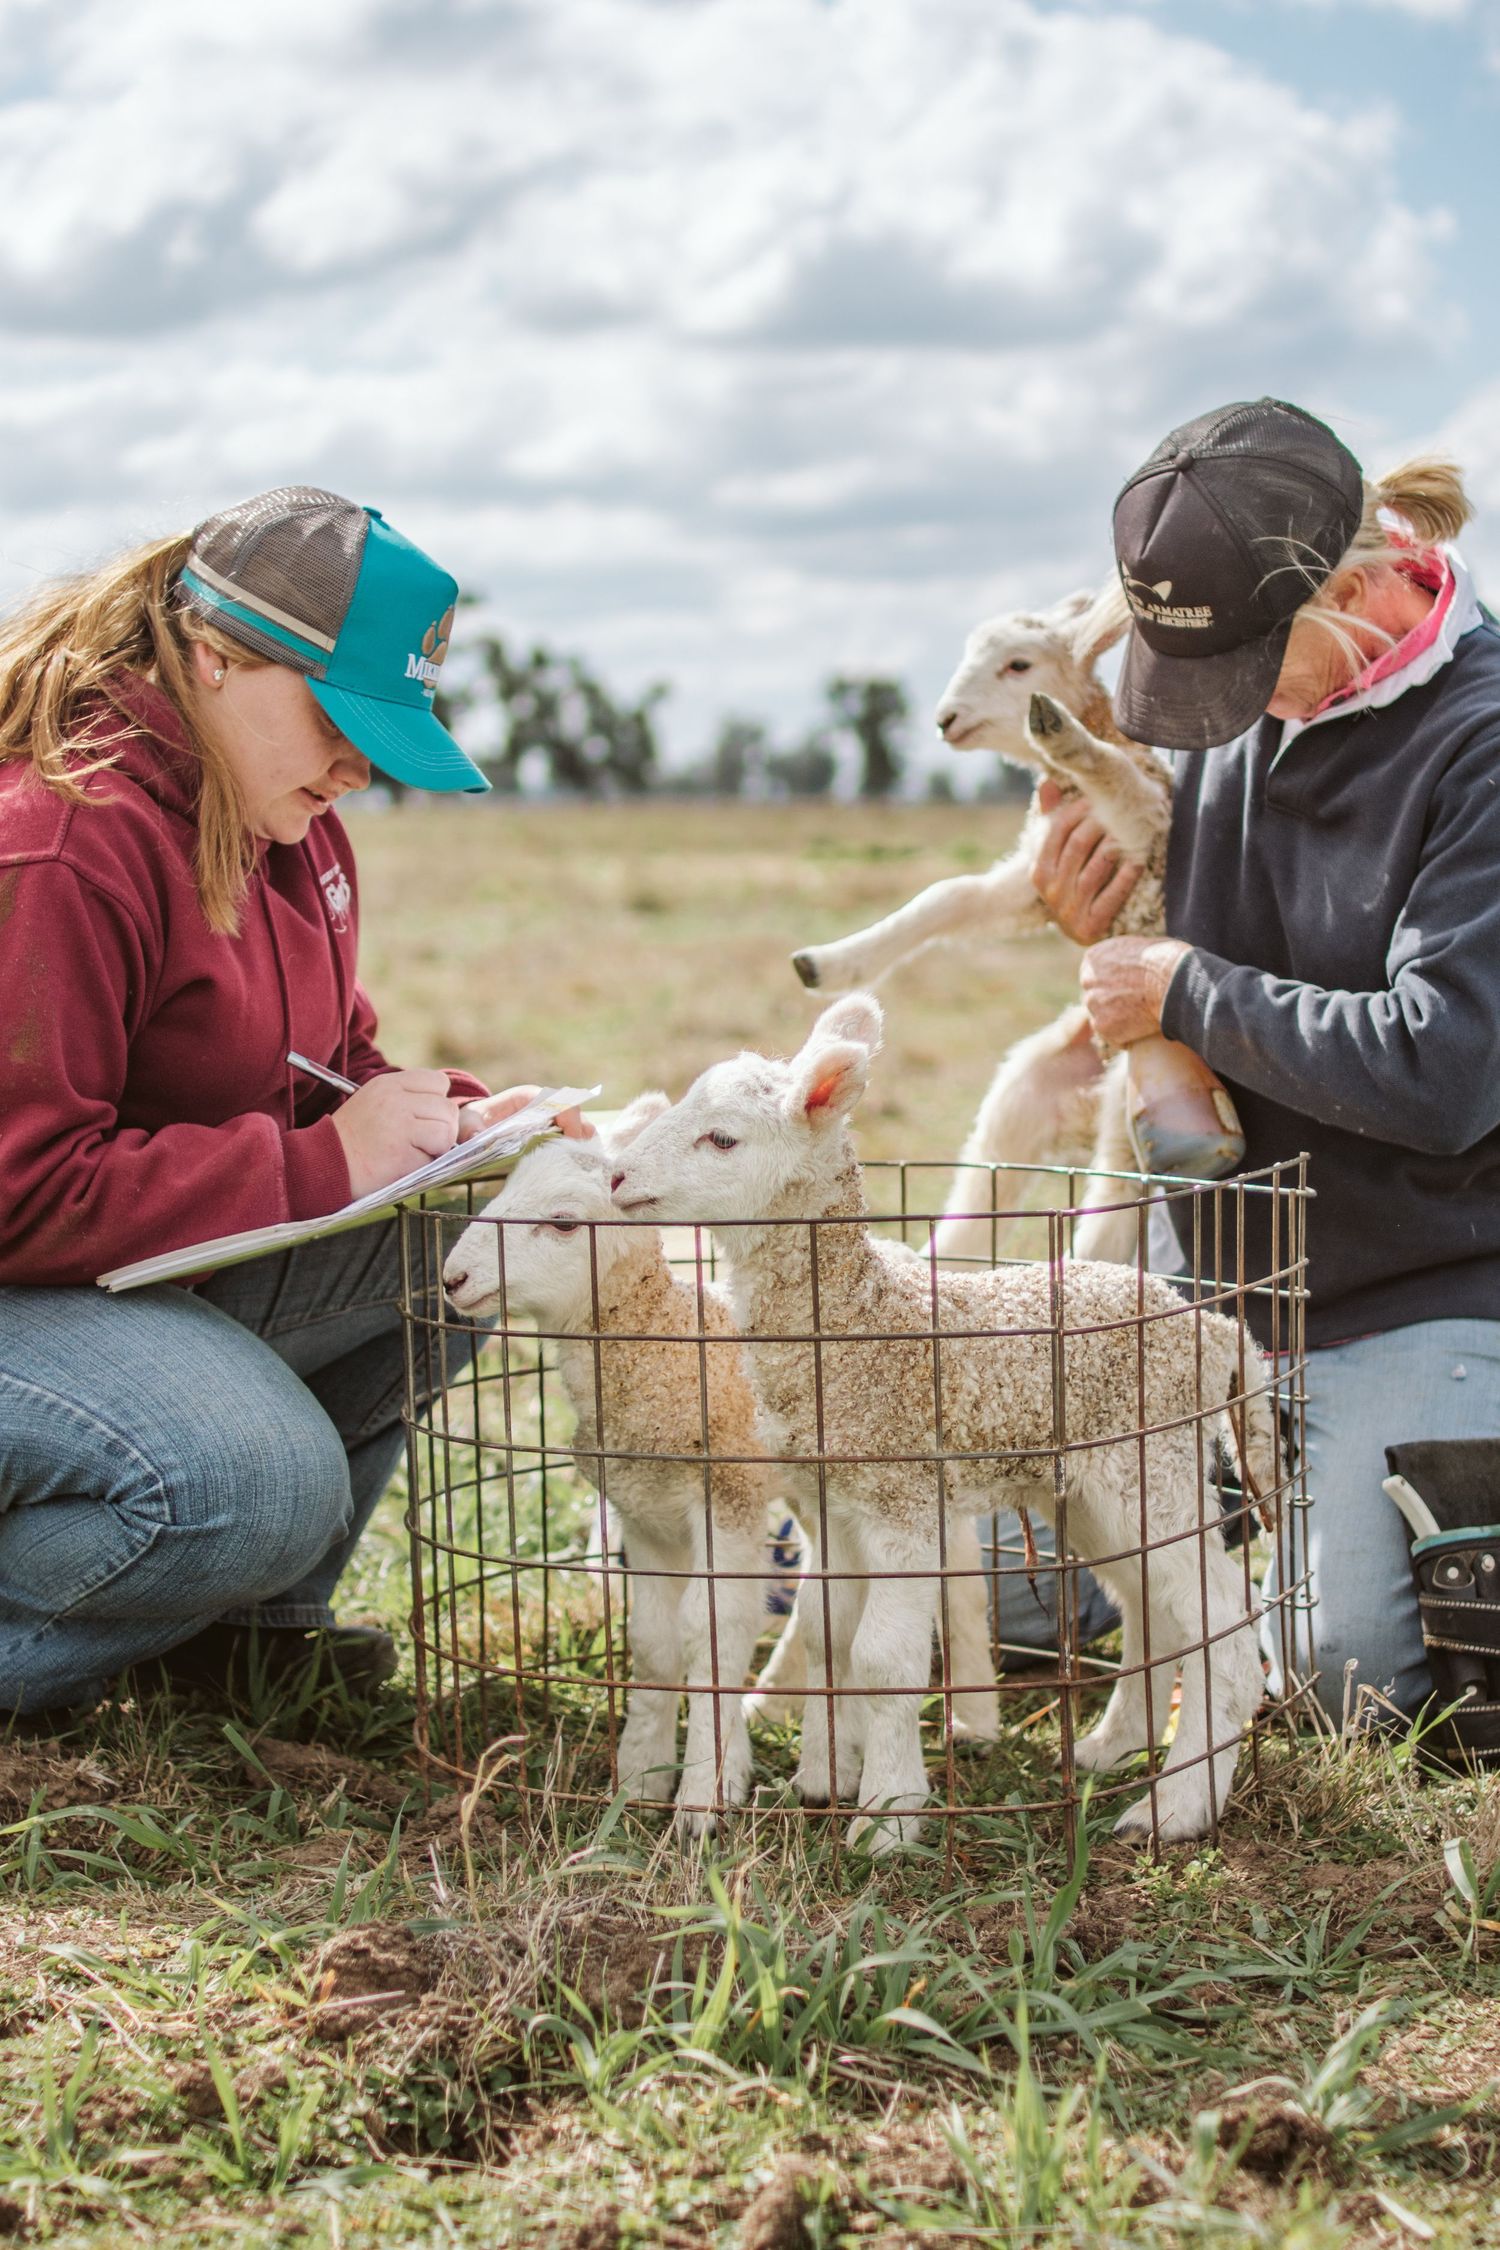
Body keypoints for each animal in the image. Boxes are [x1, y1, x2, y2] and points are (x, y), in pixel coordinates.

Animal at [609, 995, 1275, 1854]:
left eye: (721, 1138)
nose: (617, 1177)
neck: (856, 1323)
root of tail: (1211, 1328)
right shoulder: (831, 1505)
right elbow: (826, 1634)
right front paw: (826, 1778)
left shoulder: (902, 1500)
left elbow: (883, 1655)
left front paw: (889, 1818)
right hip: (1096, 1486)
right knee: (1151, 1608)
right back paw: (1110, 1747)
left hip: (1147, 1465)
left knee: (1226, 1627)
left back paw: (1179, 1807)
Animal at [788, 588, 1194, 1264]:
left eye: (1019, 665)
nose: (944, 720)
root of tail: (1084, 1110)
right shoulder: (1036, 882)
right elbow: (948, 897)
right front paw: (830, 962)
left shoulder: (1148, 834)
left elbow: (1114, 774)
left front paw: (1061, 731)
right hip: (1020, 1097)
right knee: (979, 1200)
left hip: (1129, 1117)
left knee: (1106, 1226)